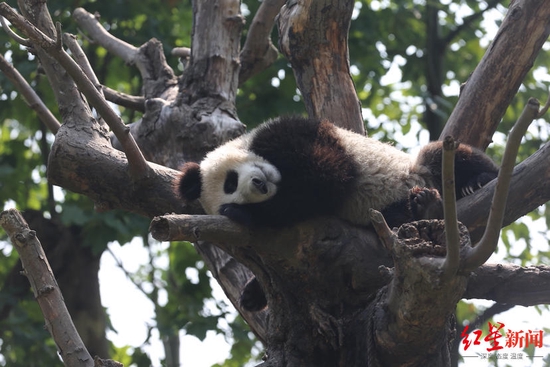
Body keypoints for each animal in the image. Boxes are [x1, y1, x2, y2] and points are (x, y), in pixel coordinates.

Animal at [176, 116, 500, 312]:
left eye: (230, 182)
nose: (260, 185)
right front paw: (253, 293)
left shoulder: (290, 133)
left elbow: (326, 173)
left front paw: (249, 214)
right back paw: (413, 209)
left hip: (419, 170)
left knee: (442, 156)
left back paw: (476, 181)